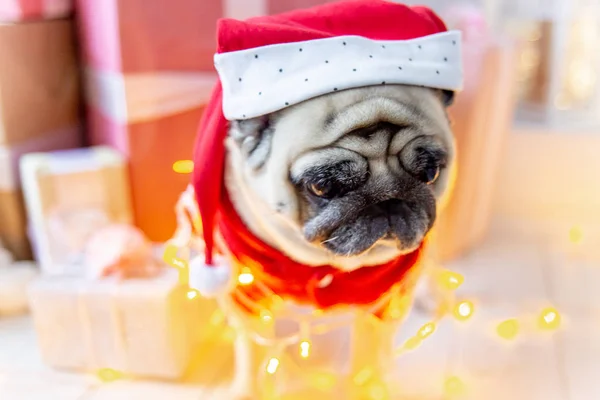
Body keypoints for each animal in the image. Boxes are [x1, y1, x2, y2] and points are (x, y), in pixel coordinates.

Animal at [171, 83, 458, 398]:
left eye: (430, 173)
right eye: (323, 187)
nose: (389, 198)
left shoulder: (385, 300)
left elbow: (369, 356)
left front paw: (367, 387)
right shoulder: (245, 291)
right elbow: (251, 353)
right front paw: (247, 391)